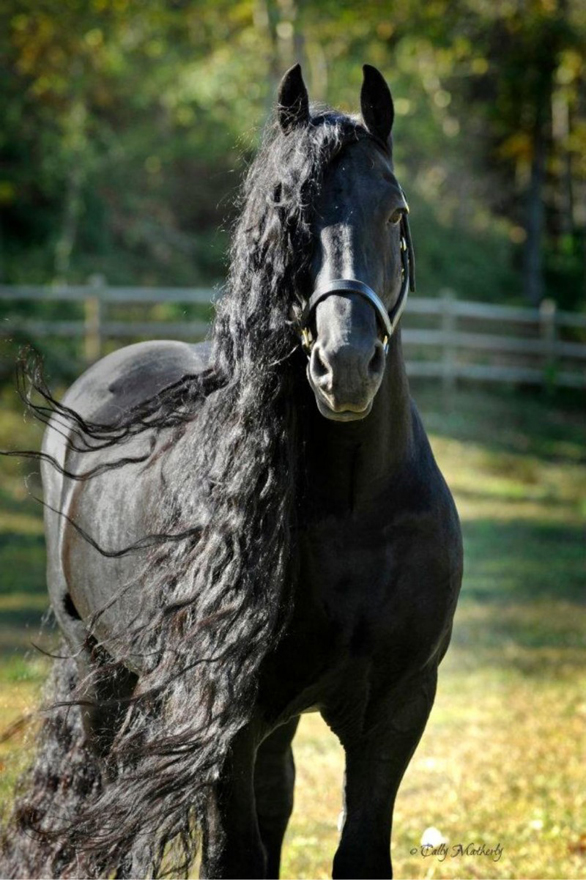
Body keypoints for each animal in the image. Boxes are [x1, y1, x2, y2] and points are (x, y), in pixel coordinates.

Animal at [0, 64, 462, 879]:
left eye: (396, 211)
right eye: (288, 221)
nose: (345, 367)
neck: (356, 512)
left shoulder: (399, 707)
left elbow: (356, 852)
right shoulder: (226, 715)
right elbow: (235, 856)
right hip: (100, 666)